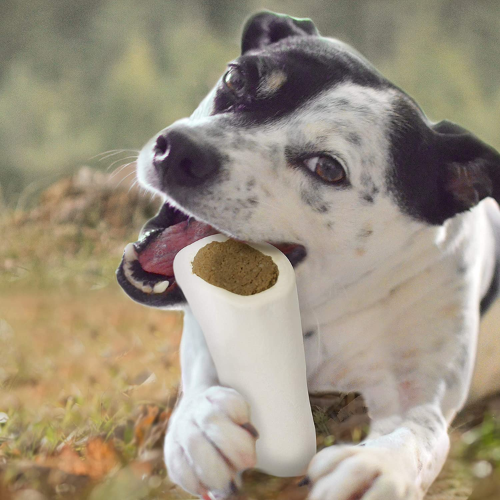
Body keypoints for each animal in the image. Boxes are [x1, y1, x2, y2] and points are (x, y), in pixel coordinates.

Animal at [115, 10, 500, 500]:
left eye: (328, 168)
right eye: (235, 78)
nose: (179, 149)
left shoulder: (421, 394)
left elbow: (416, 434)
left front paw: (375, 466)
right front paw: (201, 426)